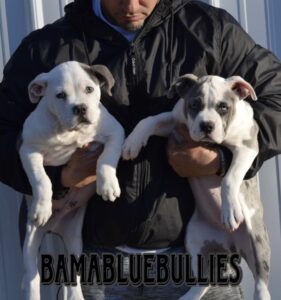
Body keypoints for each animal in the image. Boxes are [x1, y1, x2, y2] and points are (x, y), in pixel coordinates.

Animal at [19, 61, 124, 300]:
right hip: (30, 239)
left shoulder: (115, 132)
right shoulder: (28, 150)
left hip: (75, 240)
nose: (80, 108)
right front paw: (42, 207)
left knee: (72, 275)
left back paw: (76, 295)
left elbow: (106, 159)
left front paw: (107, 185)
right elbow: (42, 179)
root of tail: (54, 228)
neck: (67, 131)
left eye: (89, 89)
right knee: (31, 275)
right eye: (60, 95)